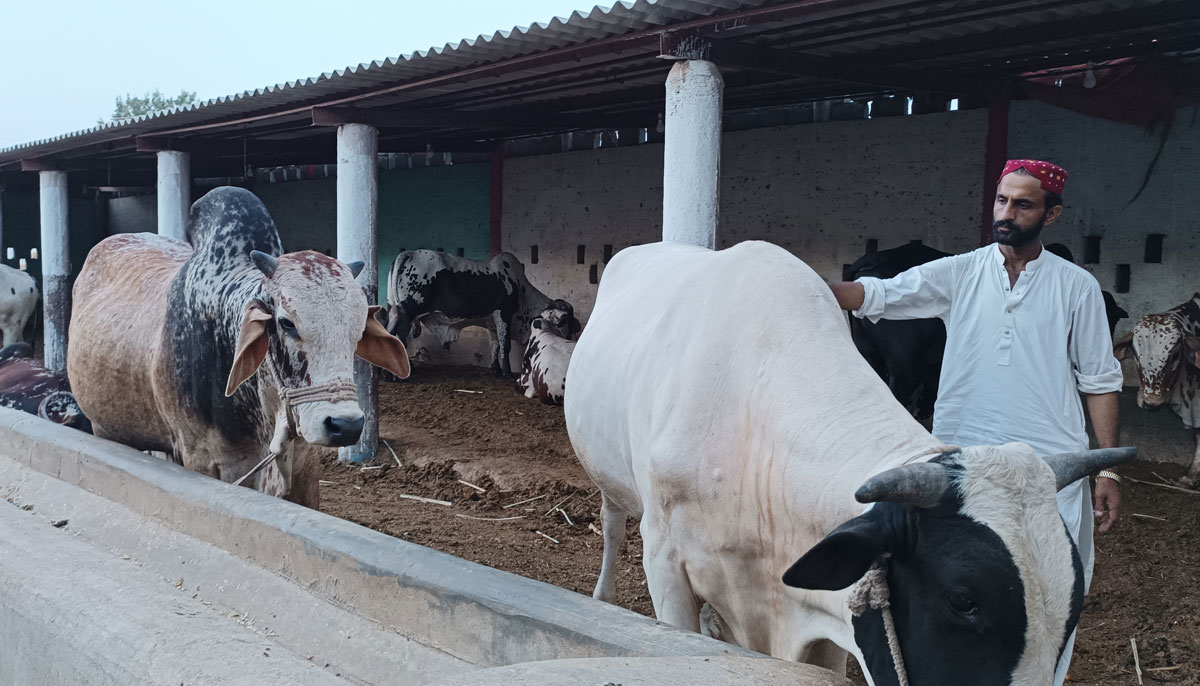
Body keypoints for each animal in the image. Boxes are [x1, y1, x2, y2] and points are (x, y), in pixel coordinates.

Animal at [68, 184, 410, 506]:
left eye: (358, 329)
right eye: (286, 322)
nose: (346, 425)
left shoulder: (305, 466)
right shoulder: (203, 459)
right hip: (106, 427)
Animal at [381, 249, 573, 374]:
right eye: (565, 320)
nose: (569, 340)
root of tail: (408, 253)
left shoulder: (492, 321)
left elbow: (494, 344)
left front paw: (495, 368)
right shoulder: (504, 313)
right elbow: (505, 344)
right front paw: (507, 372)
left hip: (394, 311)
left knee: (388, 333)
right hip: (407, 314)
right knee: (400, 337)